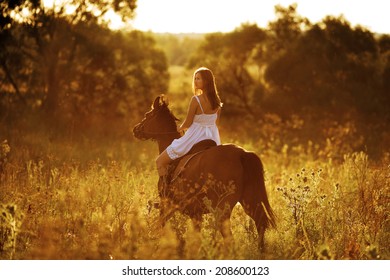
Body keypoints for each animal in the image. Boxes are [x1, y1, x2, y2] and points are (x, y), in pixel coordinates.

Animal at [133, 95, 276, 250]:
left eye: (148, 115)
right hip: (249, 200)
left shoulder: (168, 206)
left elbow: (160, 225)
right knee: (260, 223)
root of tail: (242, 154)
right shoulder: (195, 214)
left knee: (229, 236)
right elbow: (196, 237)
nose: (135, 129)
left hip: (223, 209)